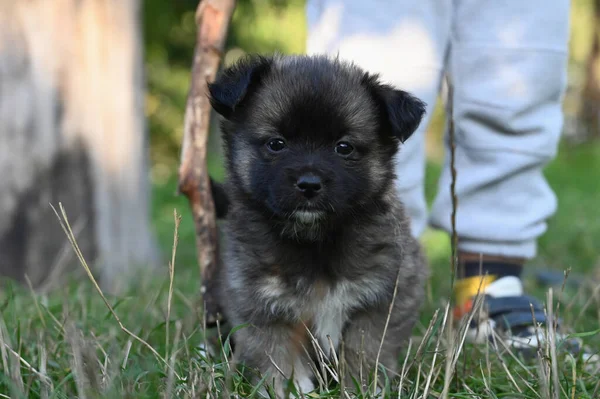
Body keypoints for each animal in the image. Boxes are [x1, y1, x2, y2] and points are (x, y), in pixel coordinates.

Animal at [209, 54, 428, 398]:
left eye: (344, 147)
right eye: (276, 144)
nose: (309, 184)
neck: (315, 240)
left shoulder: (385, 298)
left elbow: (365, 349)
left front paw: (363, 388)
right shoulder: (262, 307)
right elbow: (277, 357)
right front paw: (290, 390)